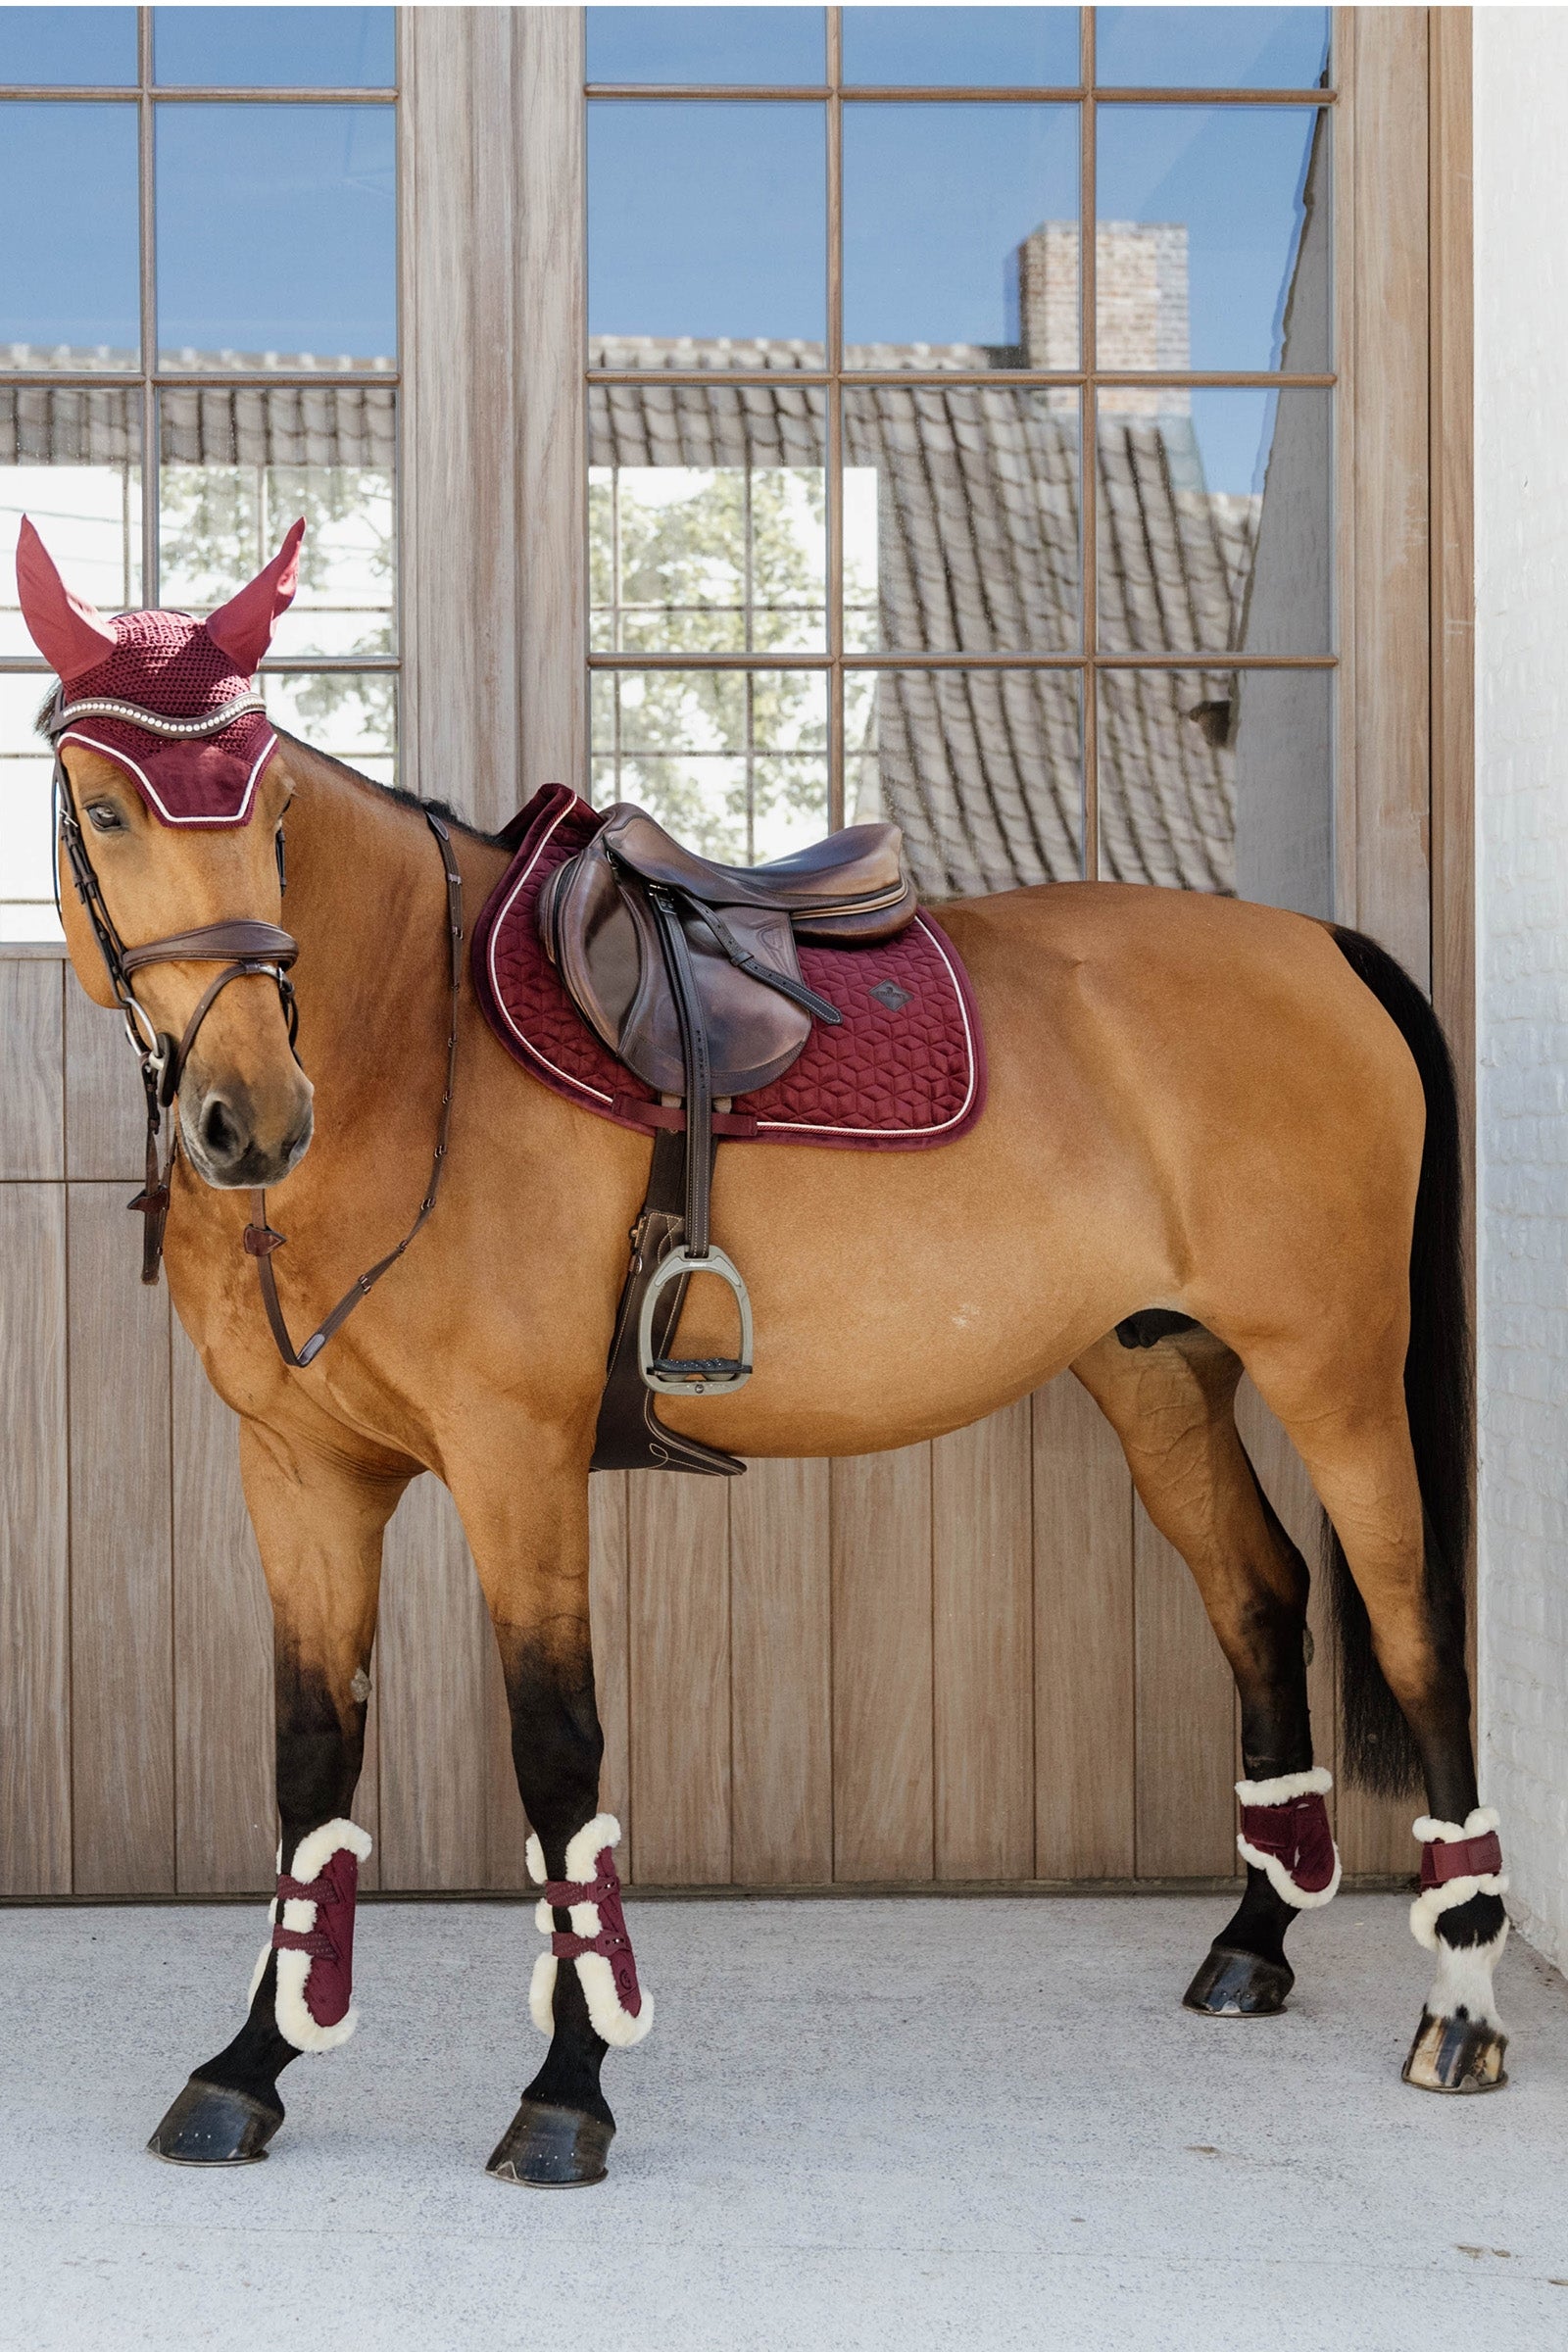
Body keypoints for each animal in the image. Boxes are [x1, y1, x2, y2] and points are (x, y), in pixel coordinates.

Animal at [19, 520, 1509, 2187]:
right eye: (103, 807)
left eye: (271, 811)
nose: (251, 1116)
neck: (411, 1050)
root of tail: (1321, 944)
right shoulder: (301, 1473)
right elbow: (307, 1766)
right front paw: (252, 2065)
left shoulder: (518, 1462)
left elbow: (557, 1755)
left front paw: (570, 2087)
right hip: (1160, 1371)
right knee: (1260, 1594)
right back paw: (1254, 1943)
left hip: (1338, 1371)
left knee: (1415, 1626)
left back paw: (1459, 2009)